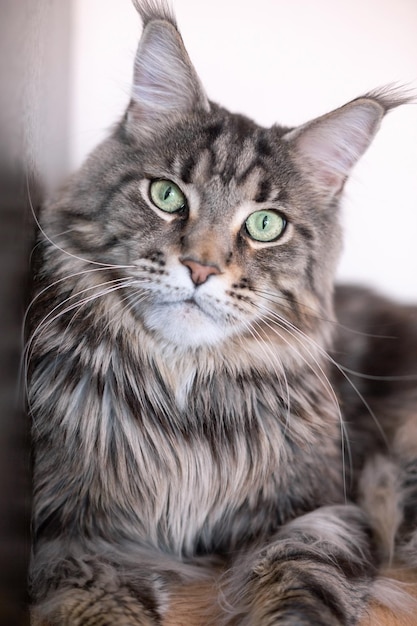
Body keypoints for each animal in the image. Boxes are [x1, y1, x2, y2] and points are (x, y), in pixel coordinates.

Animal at [26, 1, 416, 624]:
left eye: (265, 224)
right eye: (166, 195)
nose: (200, 267)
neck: (185, 408)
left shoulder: (327, 507)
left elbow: (306, 569)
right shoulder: (67, 529)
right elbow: (96, 594)